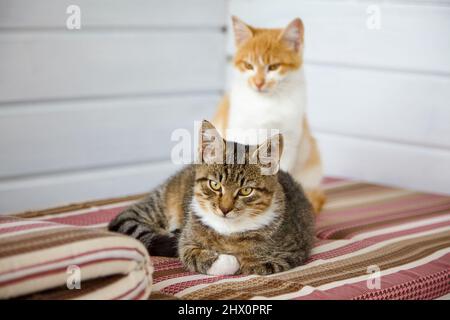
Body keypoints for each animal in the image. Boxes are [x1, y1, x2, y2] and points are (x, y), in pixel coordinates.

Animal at [108, 120, 312, 276]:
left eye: (246, 190)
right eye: (215, 185)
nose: (225, 209)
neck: (228, 229)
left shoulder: (289, 253)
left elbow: (256, 264)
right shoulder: (187, 239)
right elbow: (190, 252)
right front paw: (226, 261)